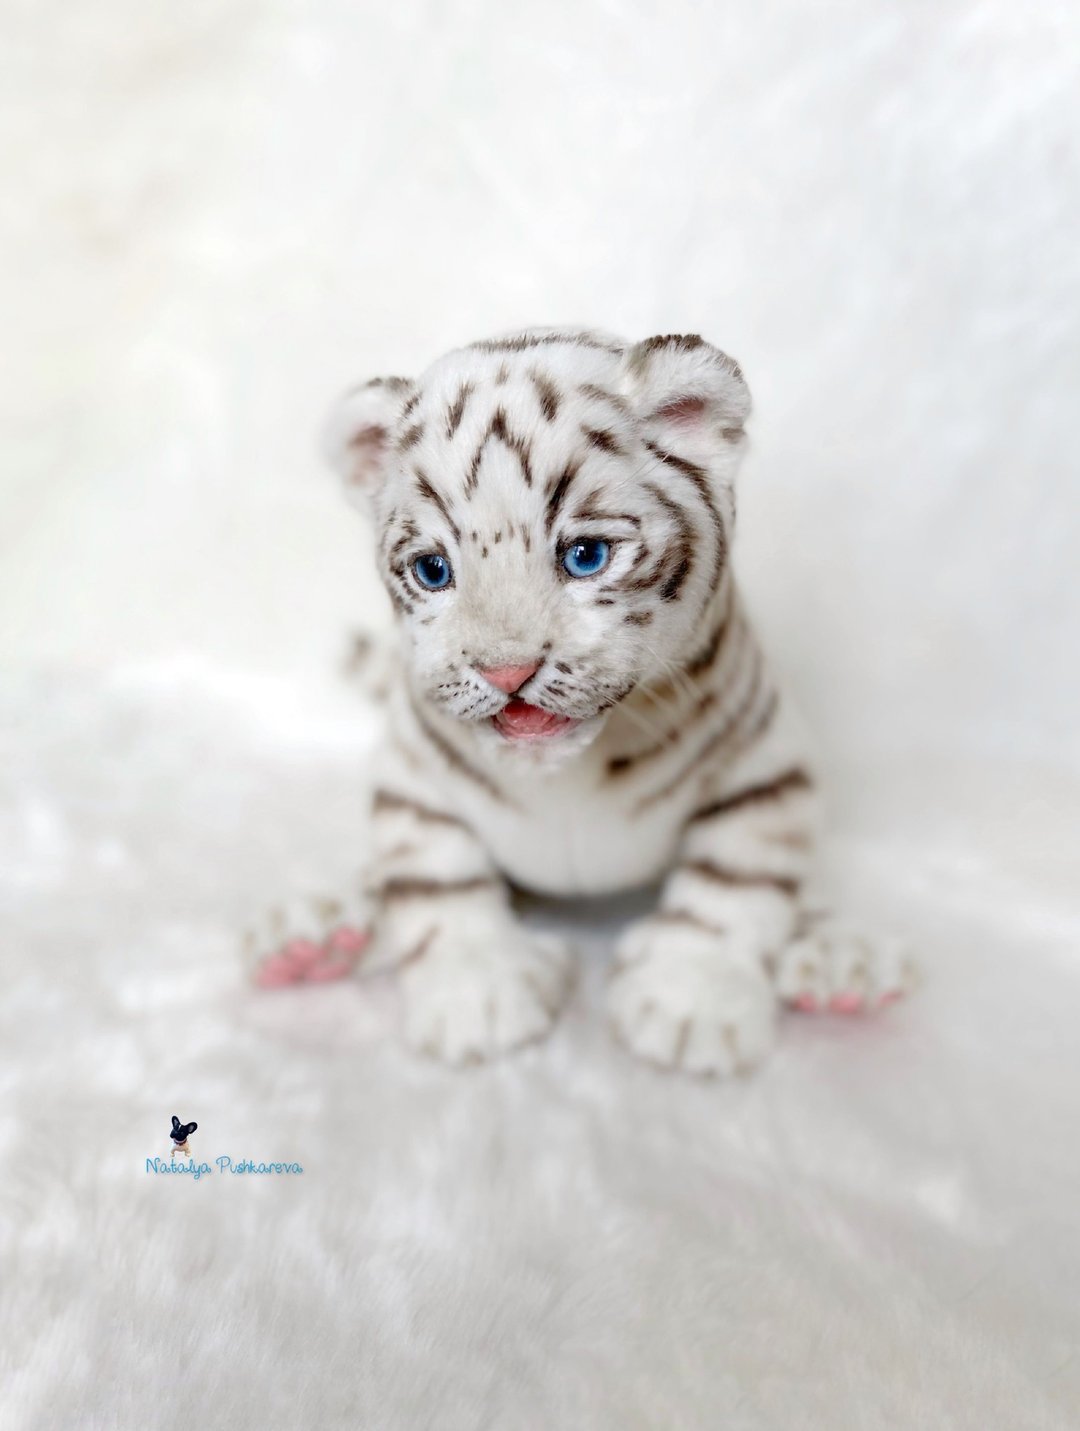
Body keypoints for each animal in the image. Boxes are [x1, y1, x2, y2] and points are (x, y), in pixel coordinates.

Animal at [249, 328, 913, 1074]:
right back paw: (313, 939)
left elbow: (734, 886)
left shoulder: (766, 769)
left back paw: (842, 962)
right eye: (433, 570)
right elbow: (437, 883)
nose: (508, 671)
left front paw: (691, 1005)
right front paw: (478, 995)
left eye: (586, 555)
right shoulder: (412, 782)